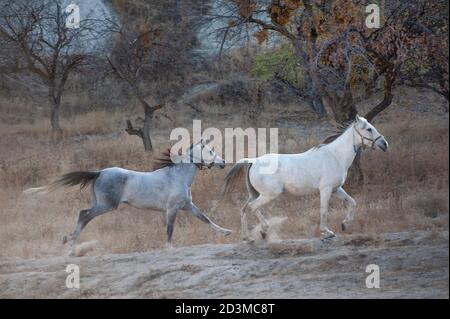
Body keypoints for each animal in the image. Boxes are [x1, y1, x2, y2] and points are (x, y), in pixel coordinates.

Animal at [221, 116, 386, 241]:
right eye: (369, 129)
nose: (384, 144)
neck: (335, 156)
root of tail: (253, 161)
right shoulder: (325, 190)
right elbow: (324, 210)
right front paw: (328, 232)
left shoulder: (336, 189)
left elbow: (352, 202)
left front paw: (344, 225)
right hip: (269, 194)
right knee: (252, 207)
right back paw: (263, 230)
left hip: (255, 194)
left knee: (244, 210)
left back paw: (247, 237)